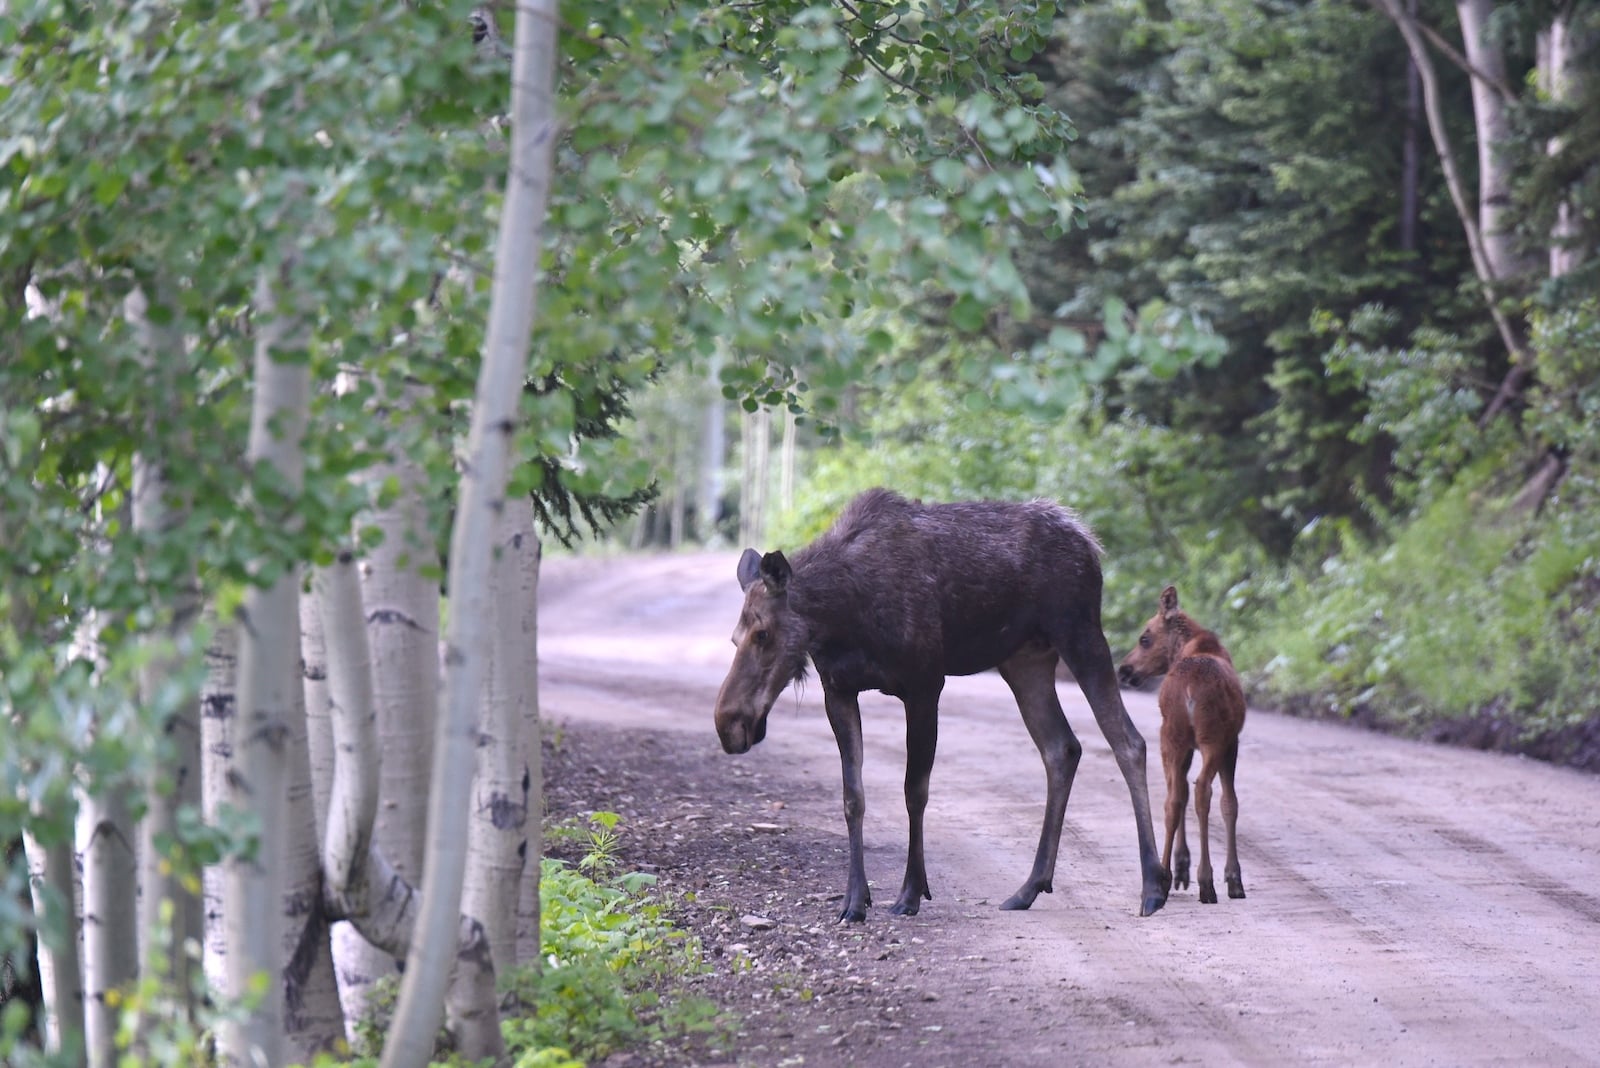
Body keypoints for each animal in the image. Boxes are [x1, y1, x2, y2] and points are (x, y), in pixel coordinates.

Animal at [713, 489, 1164, 920]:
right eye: (734, 637)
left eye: (763, 633)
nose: (728, 723)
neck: (843, 617)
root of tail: (1089, 543)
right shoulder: (838, 689)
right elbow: (853, 796)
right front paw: (854, 901)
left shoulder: (925, 684)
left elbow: (915, 790)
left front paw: (911, 893)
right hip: (1025, 660)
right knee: (1062, 748)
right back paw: (1029, 887)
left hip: (1081, 635)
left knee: (1129, 742)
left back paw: (1153, 887)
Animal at [1120, 588, 1241, 908]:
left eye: (1144, 638)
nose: (1123, 670)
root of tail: (1189, 692)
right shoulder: (1232, 742)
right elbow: (1230, 803)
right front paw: (1232, 878)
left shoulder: (1190, 746)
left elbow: (1182, 795)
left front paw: (1181, 866)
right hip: (1212, 739)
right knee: (1202, 792)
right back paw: (1206, 882)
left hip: (1172, 736)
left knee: (1174, 798)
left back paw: (1163, 877)